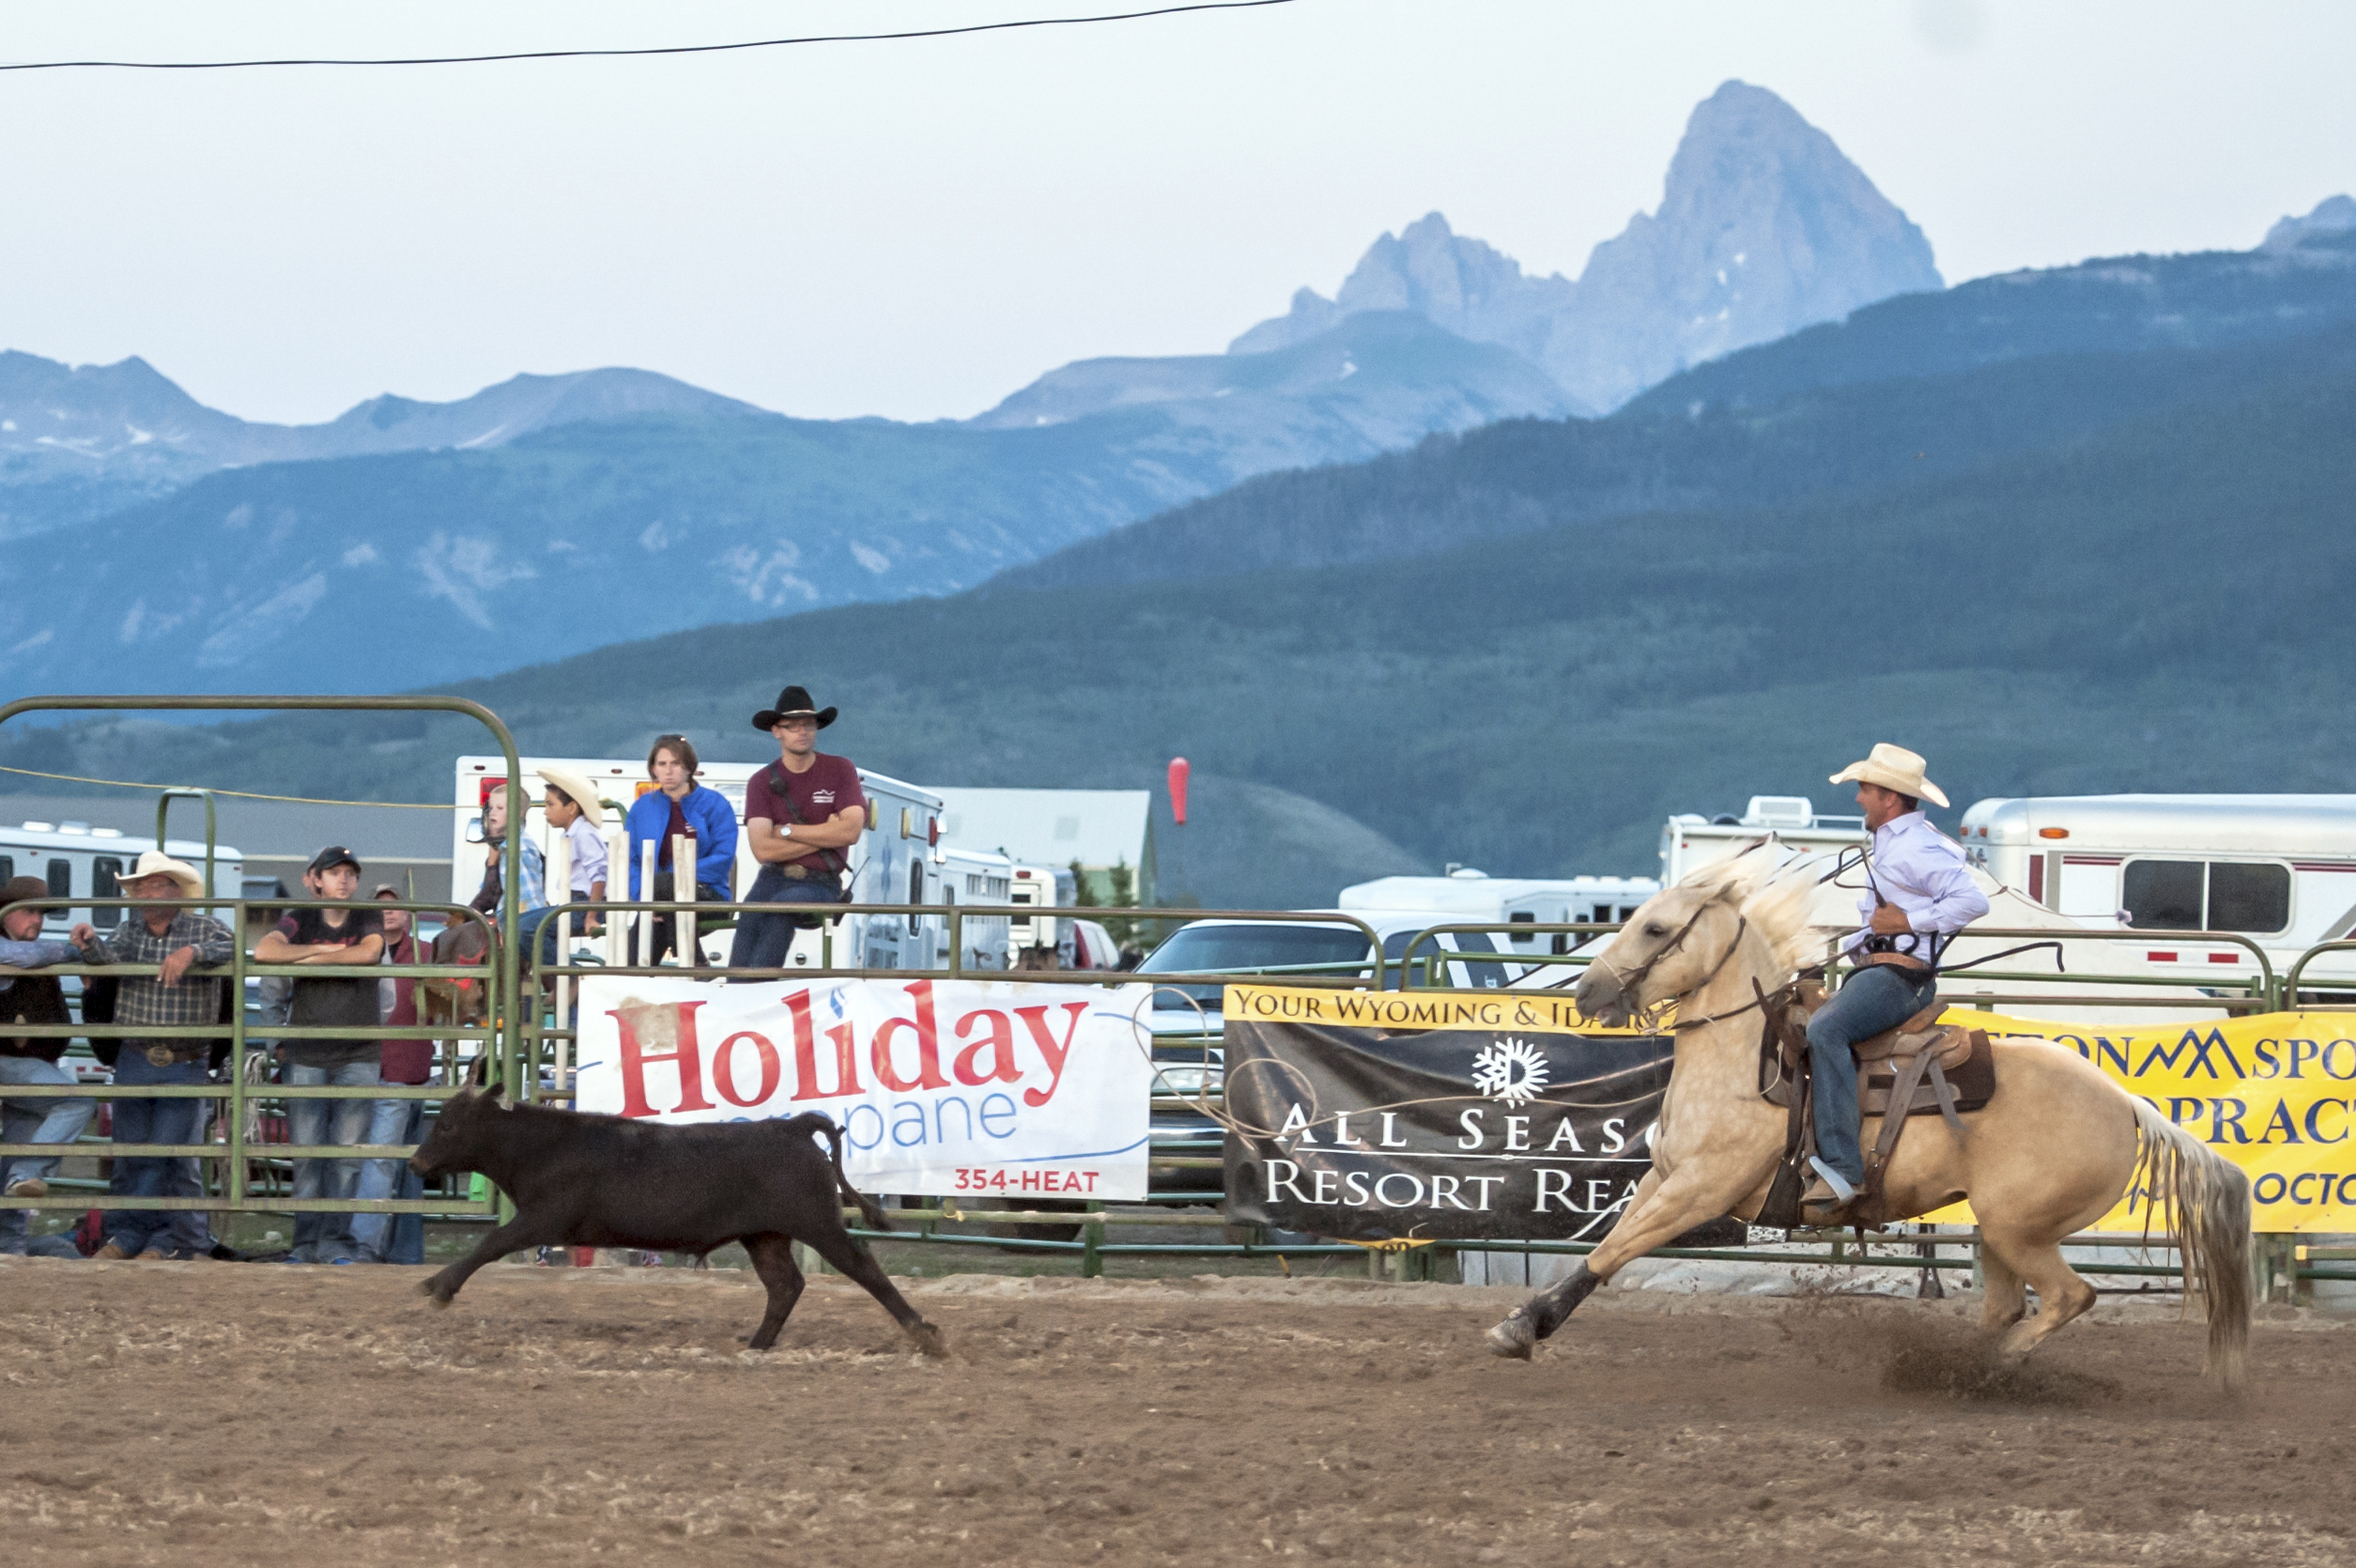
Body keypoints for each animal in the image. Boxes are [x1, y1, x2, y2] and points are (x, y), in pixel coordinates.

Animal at [1479, 861, 2252, 1384]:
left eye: (1657, 927)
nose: (1587, 992)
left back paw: (1982, 1372)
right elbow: (1609, 1244)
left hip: (2019, 1229)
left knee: (2070, 1295)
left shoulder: (1698, 1192)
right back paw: (1958, 1368)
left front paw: (1520, 1327)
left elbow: (1610, 1254)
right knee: (2010, 1305)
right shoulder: (1664, 1180)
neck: (1743, 1061)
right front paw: (1524, 1322)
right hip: (2000, 1228)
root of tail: (2127, 1104)